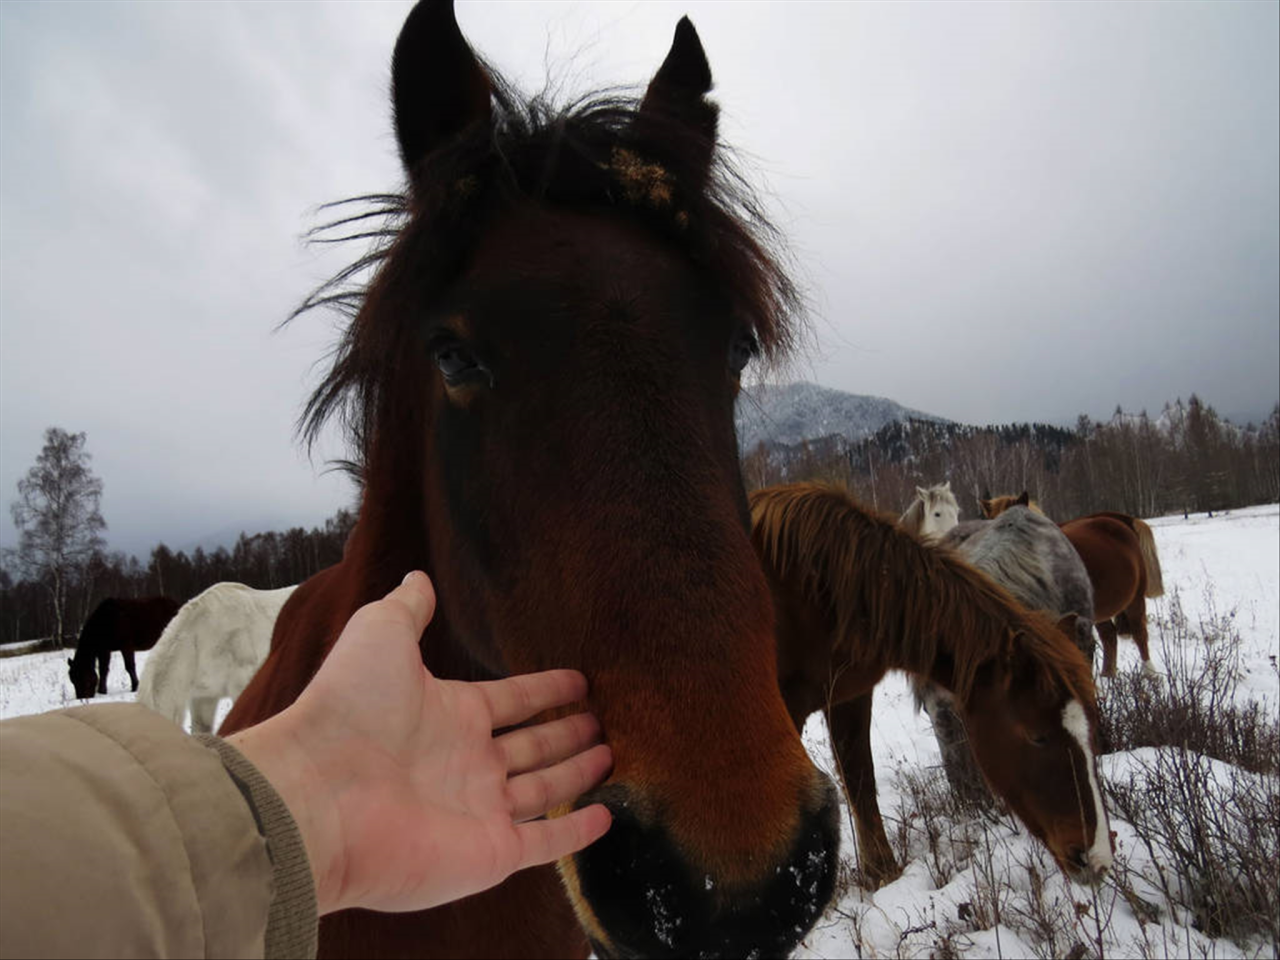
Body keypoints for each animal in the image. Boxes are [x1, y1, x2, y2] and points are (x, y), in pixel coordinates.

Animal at [747, 483, 1111, 890]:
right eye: (1037, 735)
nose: (1095, 857)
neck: (806, 590)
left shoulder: (847, 697)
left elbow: (860, 780)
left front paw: (882, 874)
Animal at [972, 496, 1167, 675]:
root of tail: (1119, 521)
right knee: (1109, 636)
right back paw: (1108, 676)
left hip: (1135, 599)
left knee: (1139, 633)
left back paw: (1149, 673)